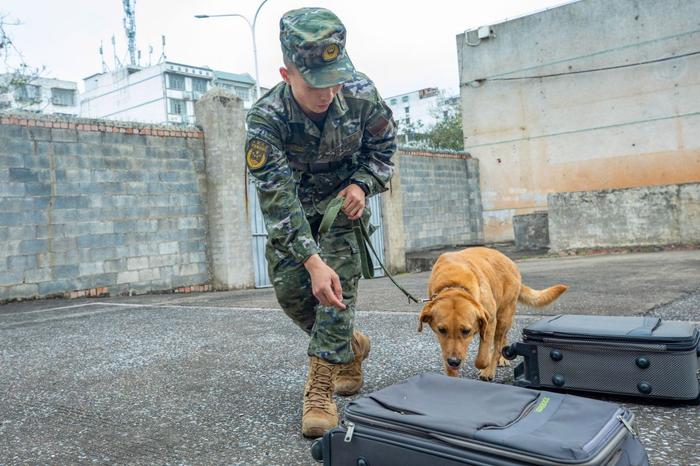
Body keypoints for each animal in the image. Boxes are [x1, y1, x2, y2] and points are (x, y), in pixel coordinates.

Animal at [418, 246, 568, 380]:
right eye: (441, 330)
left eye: (466, 331)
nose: (454, 361)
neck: (454, 283)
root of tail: (508, 260)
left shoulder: (489, 321)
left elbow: (483, 358)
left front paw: (487, 368)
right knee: (502, 339)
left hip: (504, 315)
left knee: (498, 341)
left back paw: (495, 364)